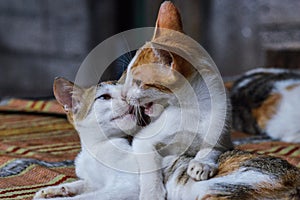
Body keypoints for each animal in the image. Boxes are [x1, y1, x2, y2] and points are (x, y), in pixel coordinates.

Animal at [120, 1, 233, 198]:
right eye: (127, 76)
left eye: (139, 82)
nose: (124, 95)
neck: (191, 108)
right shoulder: (143, 141)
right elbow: (150, 165)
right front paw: (152, 193)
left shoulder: (224, 136)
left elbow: (213, 148)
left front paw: (202, 163)